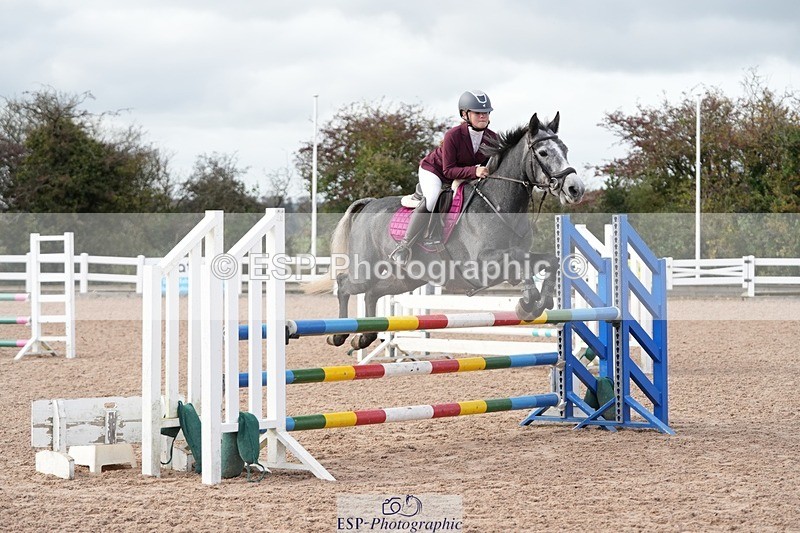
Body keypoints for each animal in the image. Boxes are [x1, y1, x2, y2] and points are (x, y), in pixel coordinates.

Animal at [315, 112, 585, 350]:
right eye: (543, 152)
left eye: (566, 150)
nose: (575, 189)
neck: (497, 203)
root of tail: (369, 203)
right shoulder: (480, 265)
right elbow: (519, 259)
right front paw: (528, 300)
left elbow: (549, 260)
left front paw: (540, 302)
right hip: (366, 270)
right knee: (346, 285)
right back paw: (338, 335)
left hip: (404, 278)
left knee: (372, 294)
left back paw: (364, 337)